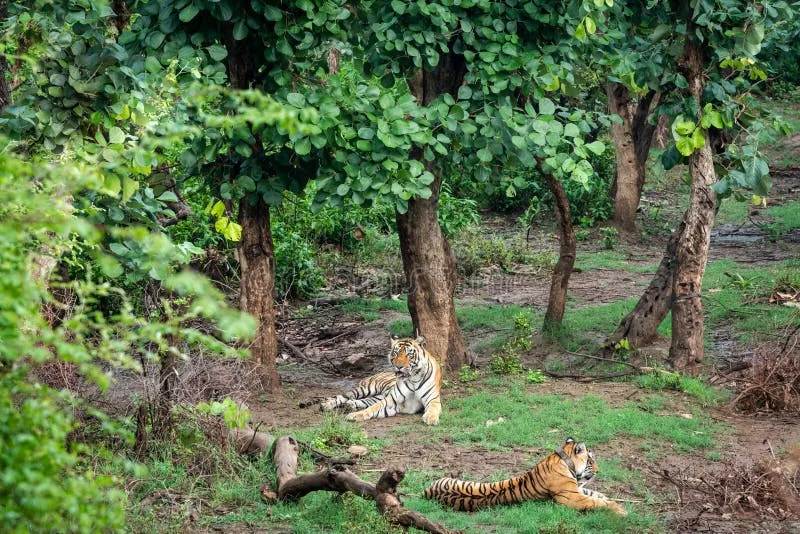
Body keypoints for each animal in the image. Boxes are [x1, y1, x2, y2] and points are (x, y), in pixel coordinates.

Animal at [422, 440, 628, 516]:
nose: (599, 470)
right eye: (591, 460)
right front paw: (621, 510)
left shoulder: (577, 489)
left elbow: (597, 495)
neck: (563, 460)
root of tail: (426, 492)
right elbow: (596, 501)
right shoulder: (572, 497)